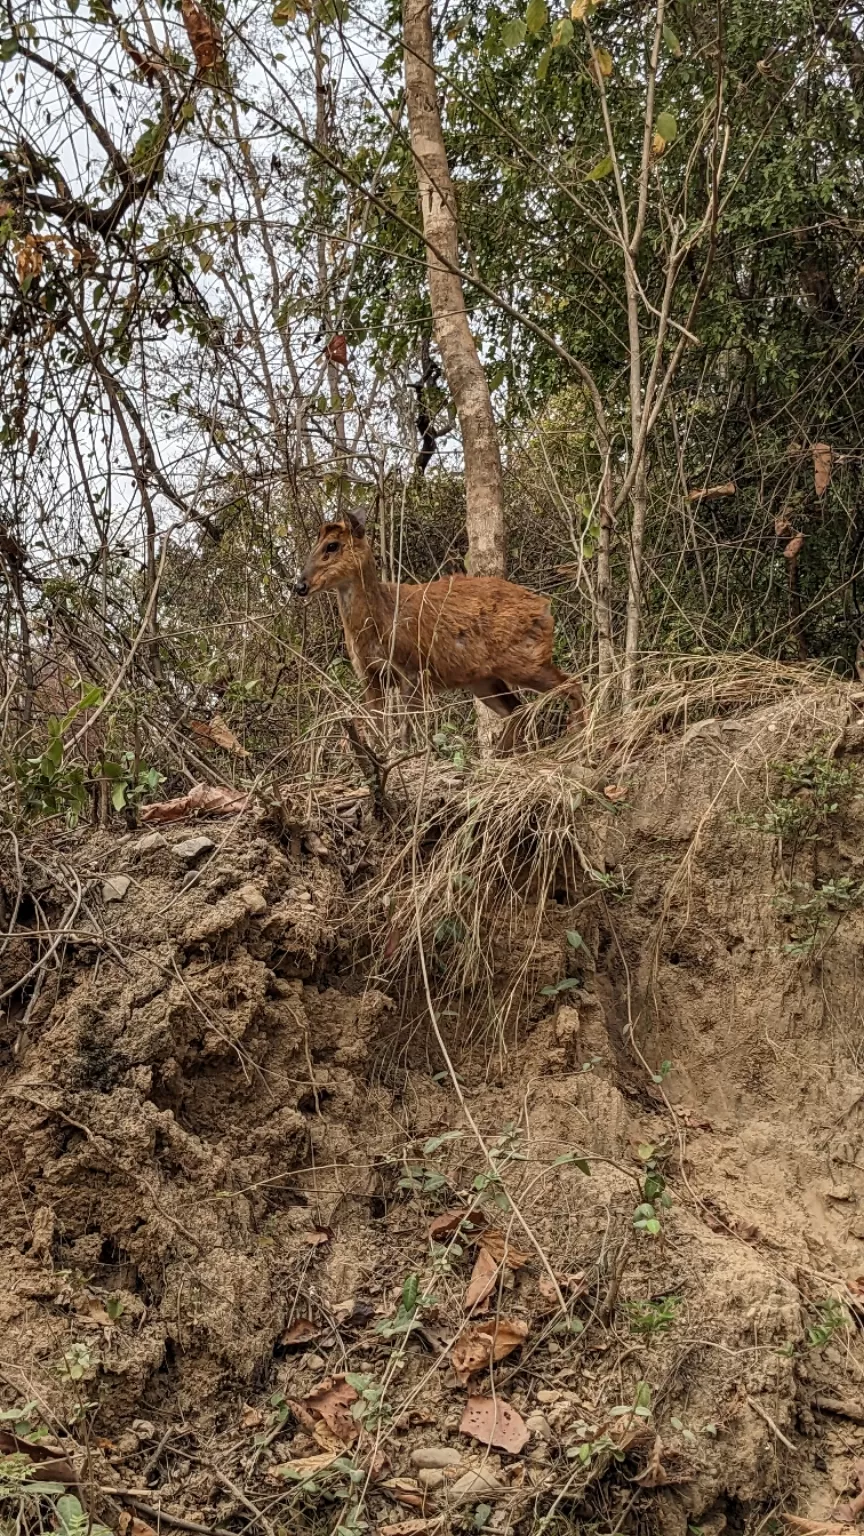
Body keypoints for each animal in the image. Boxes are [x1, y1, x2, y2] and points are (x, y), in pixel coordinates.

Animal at [292, 509, 581, 749]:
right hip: (483, 678)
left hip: (525, 658)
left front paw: (407, 756)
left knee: (572, 683)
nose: (299, 585)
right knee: (519, 709)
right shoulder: (369, 674)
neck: (381, 622)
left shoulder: (413, 668)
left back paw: (575, 737)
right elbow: (377, 726)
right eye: (314, 546)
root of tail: (545, 607)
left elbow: (408, 725)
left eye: (332, 545)